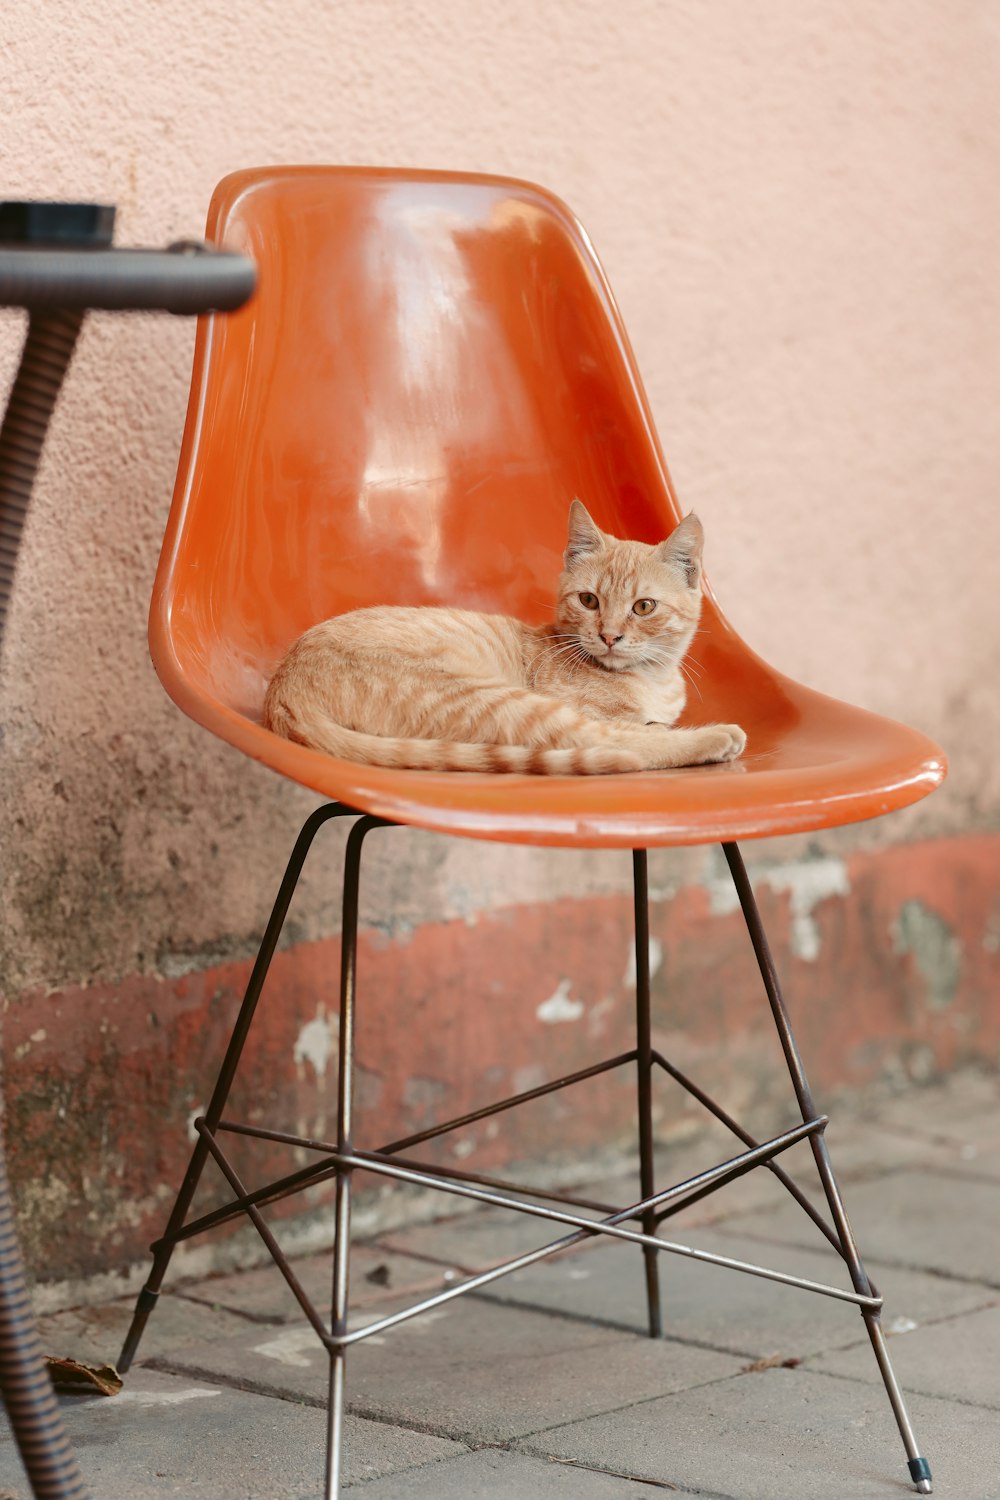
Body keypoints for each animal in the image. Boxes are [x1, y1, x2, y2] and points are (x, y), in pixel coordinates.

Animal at [262, 504, 746, 774]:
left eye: (643, 607)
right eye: (589, 600)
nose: (609, 636)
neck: (653, 679)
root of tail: (284, 691)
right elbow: (632, 728)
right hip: (498, 700)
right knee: (606, 742)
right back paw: (714, 738)